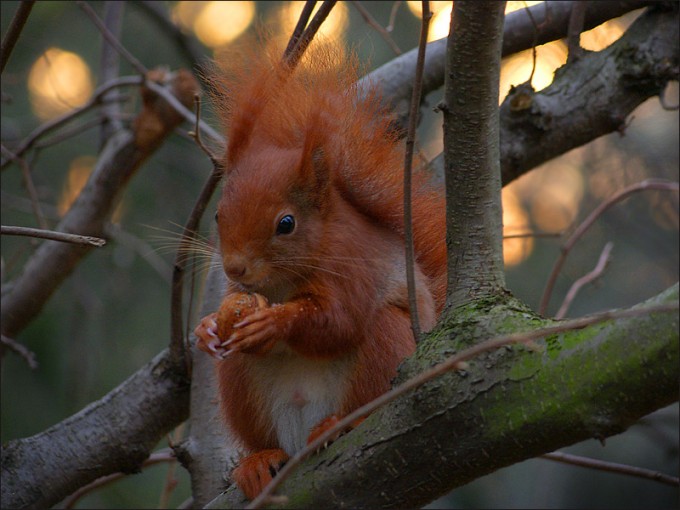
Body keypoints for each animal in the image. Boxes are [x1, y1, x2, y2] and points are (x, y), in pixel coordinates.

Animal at [194, 41, 446, 500]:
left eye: (286, 224)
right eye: (218, 215)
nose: (235, 266)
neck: (281, 280)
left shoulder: (355, 266)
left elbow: (338, 321)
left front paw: (275, 323)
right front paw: (205, 329)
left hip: (389, 346)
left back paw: (343, 424)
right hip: (241, 387)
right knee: (259, 430)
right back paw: (258, 461)